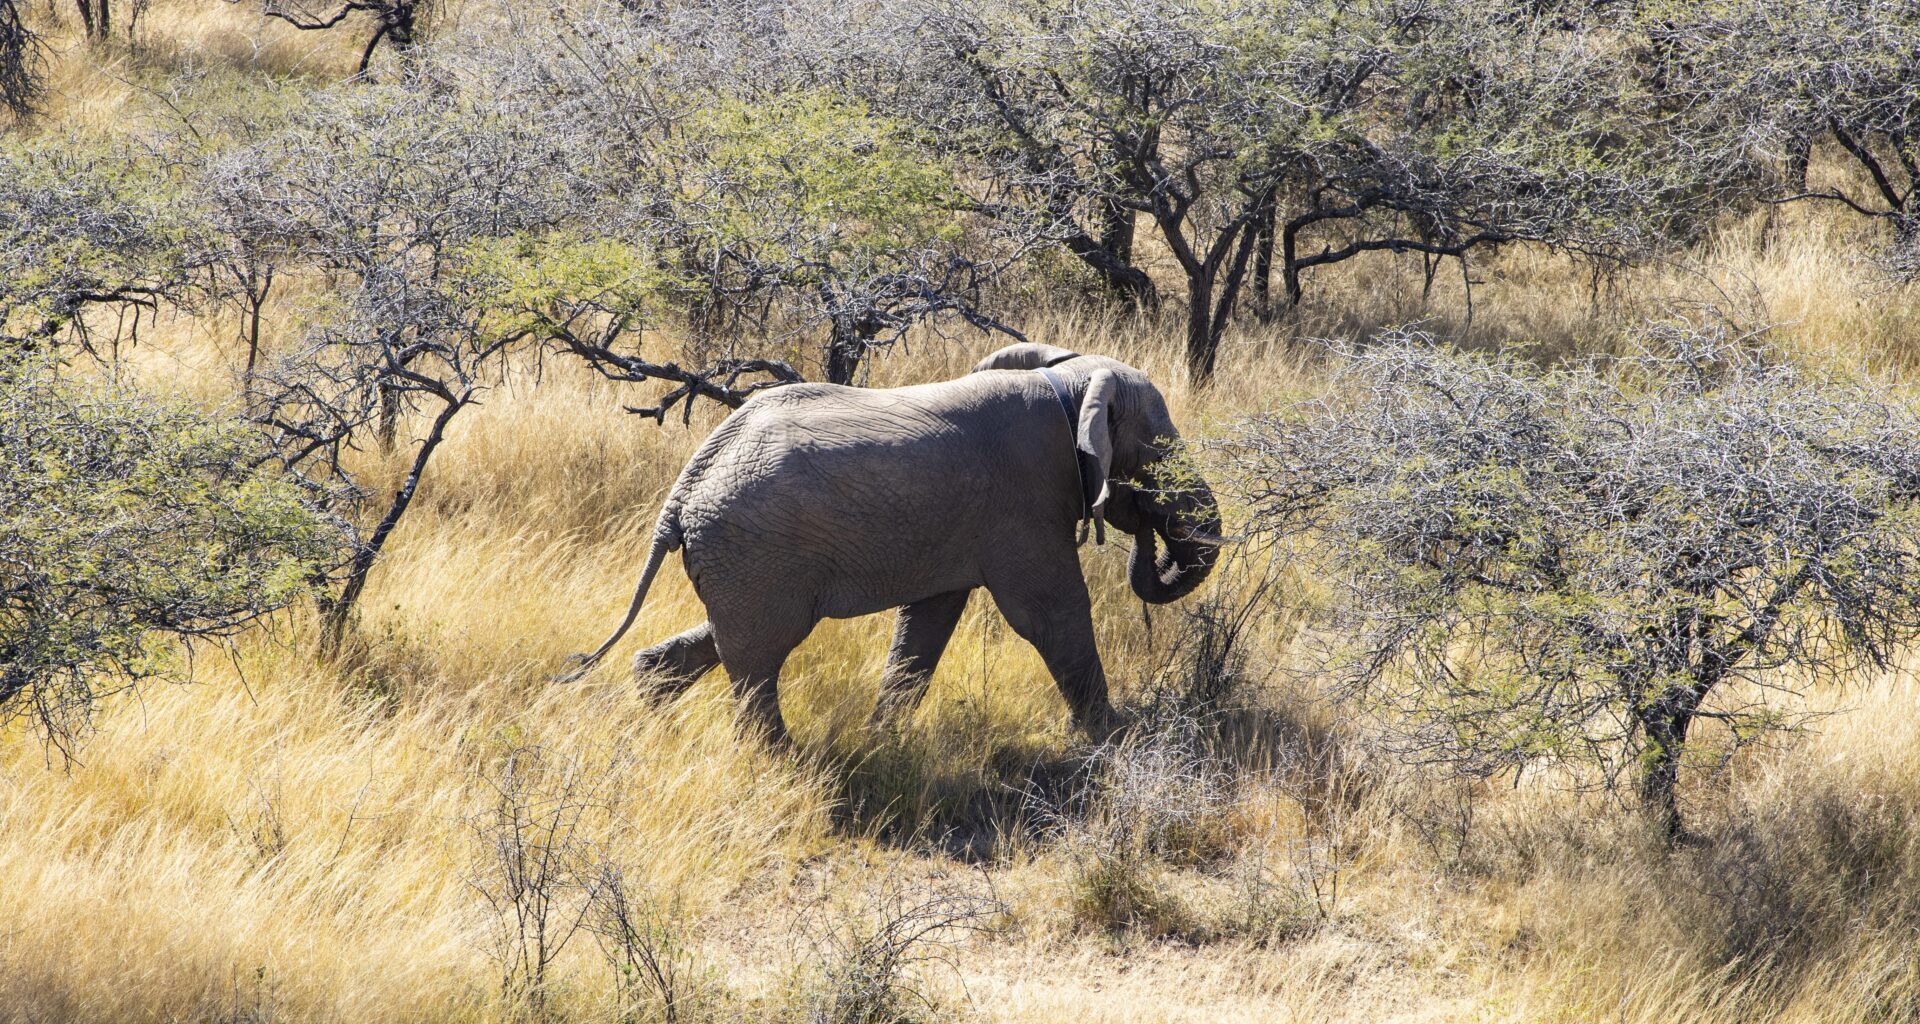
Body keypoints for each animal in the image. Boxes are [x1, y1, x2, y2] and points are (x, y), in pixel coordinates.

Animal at [563, 341, 1224, 744]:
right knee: (761, 655)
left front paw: (884, 737)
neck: (1069, 381)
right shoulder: (1025, 505)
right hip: (755, 549)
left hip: (742, 559)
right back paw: (780, 760)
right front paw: (1115, 738)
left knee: (735, 638)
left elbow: (928, 621)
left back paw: (654, 704)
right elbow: (1051, 613)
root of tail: (682, 492)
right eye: (1159, 451)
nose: (1141, 516)